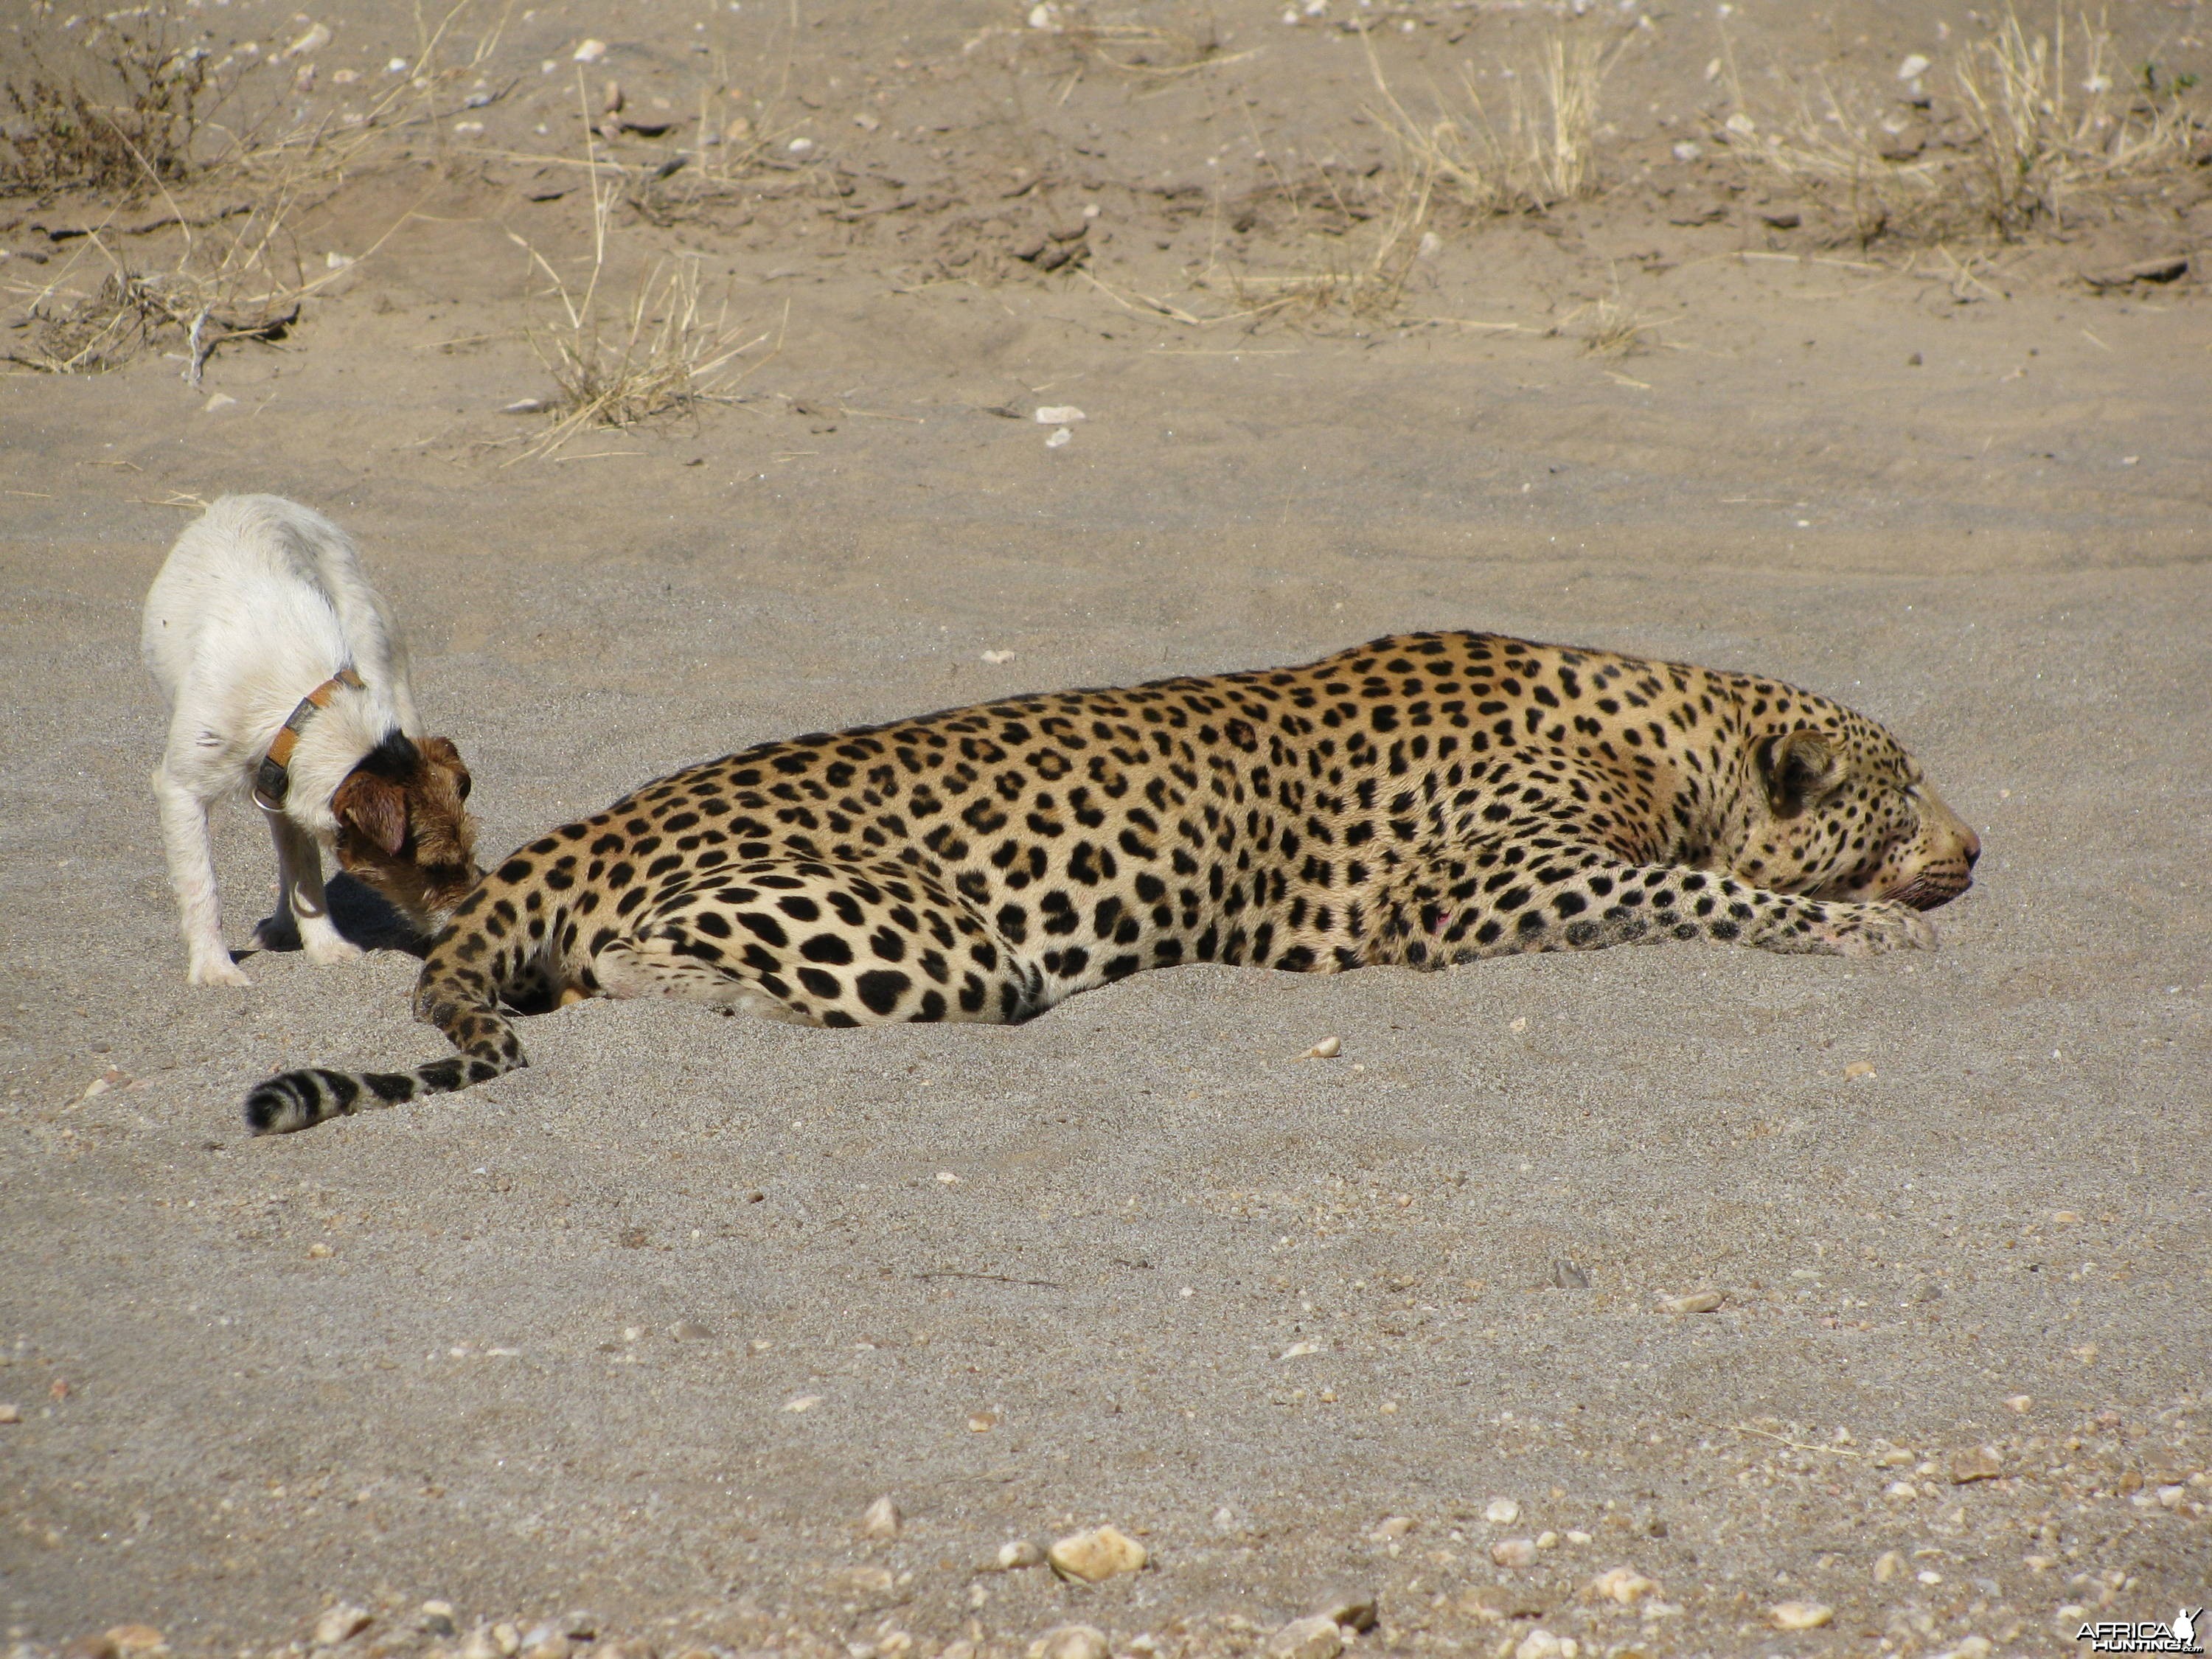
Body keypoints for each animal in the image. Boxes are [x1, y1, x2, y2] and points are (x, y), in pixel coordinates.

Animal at [144, 493, 484, 987]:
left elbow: (306, 874)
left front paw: (325, 947)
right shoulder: (183, 789)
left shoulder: (286, 776)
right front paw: (213, 968)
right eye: (435, 866)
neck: (302, 699)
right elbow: (201, 885)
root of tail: (253, 498)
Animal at [242, 628, 1973, 1141]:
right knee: (635, 975)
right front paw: (1859, 930)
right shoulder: (1466, 896)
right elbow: (1708, 897)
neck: (1670, 735)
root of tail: (589, 829)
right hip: (940, 947)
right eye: (1906, 792)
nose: (1978, 851)